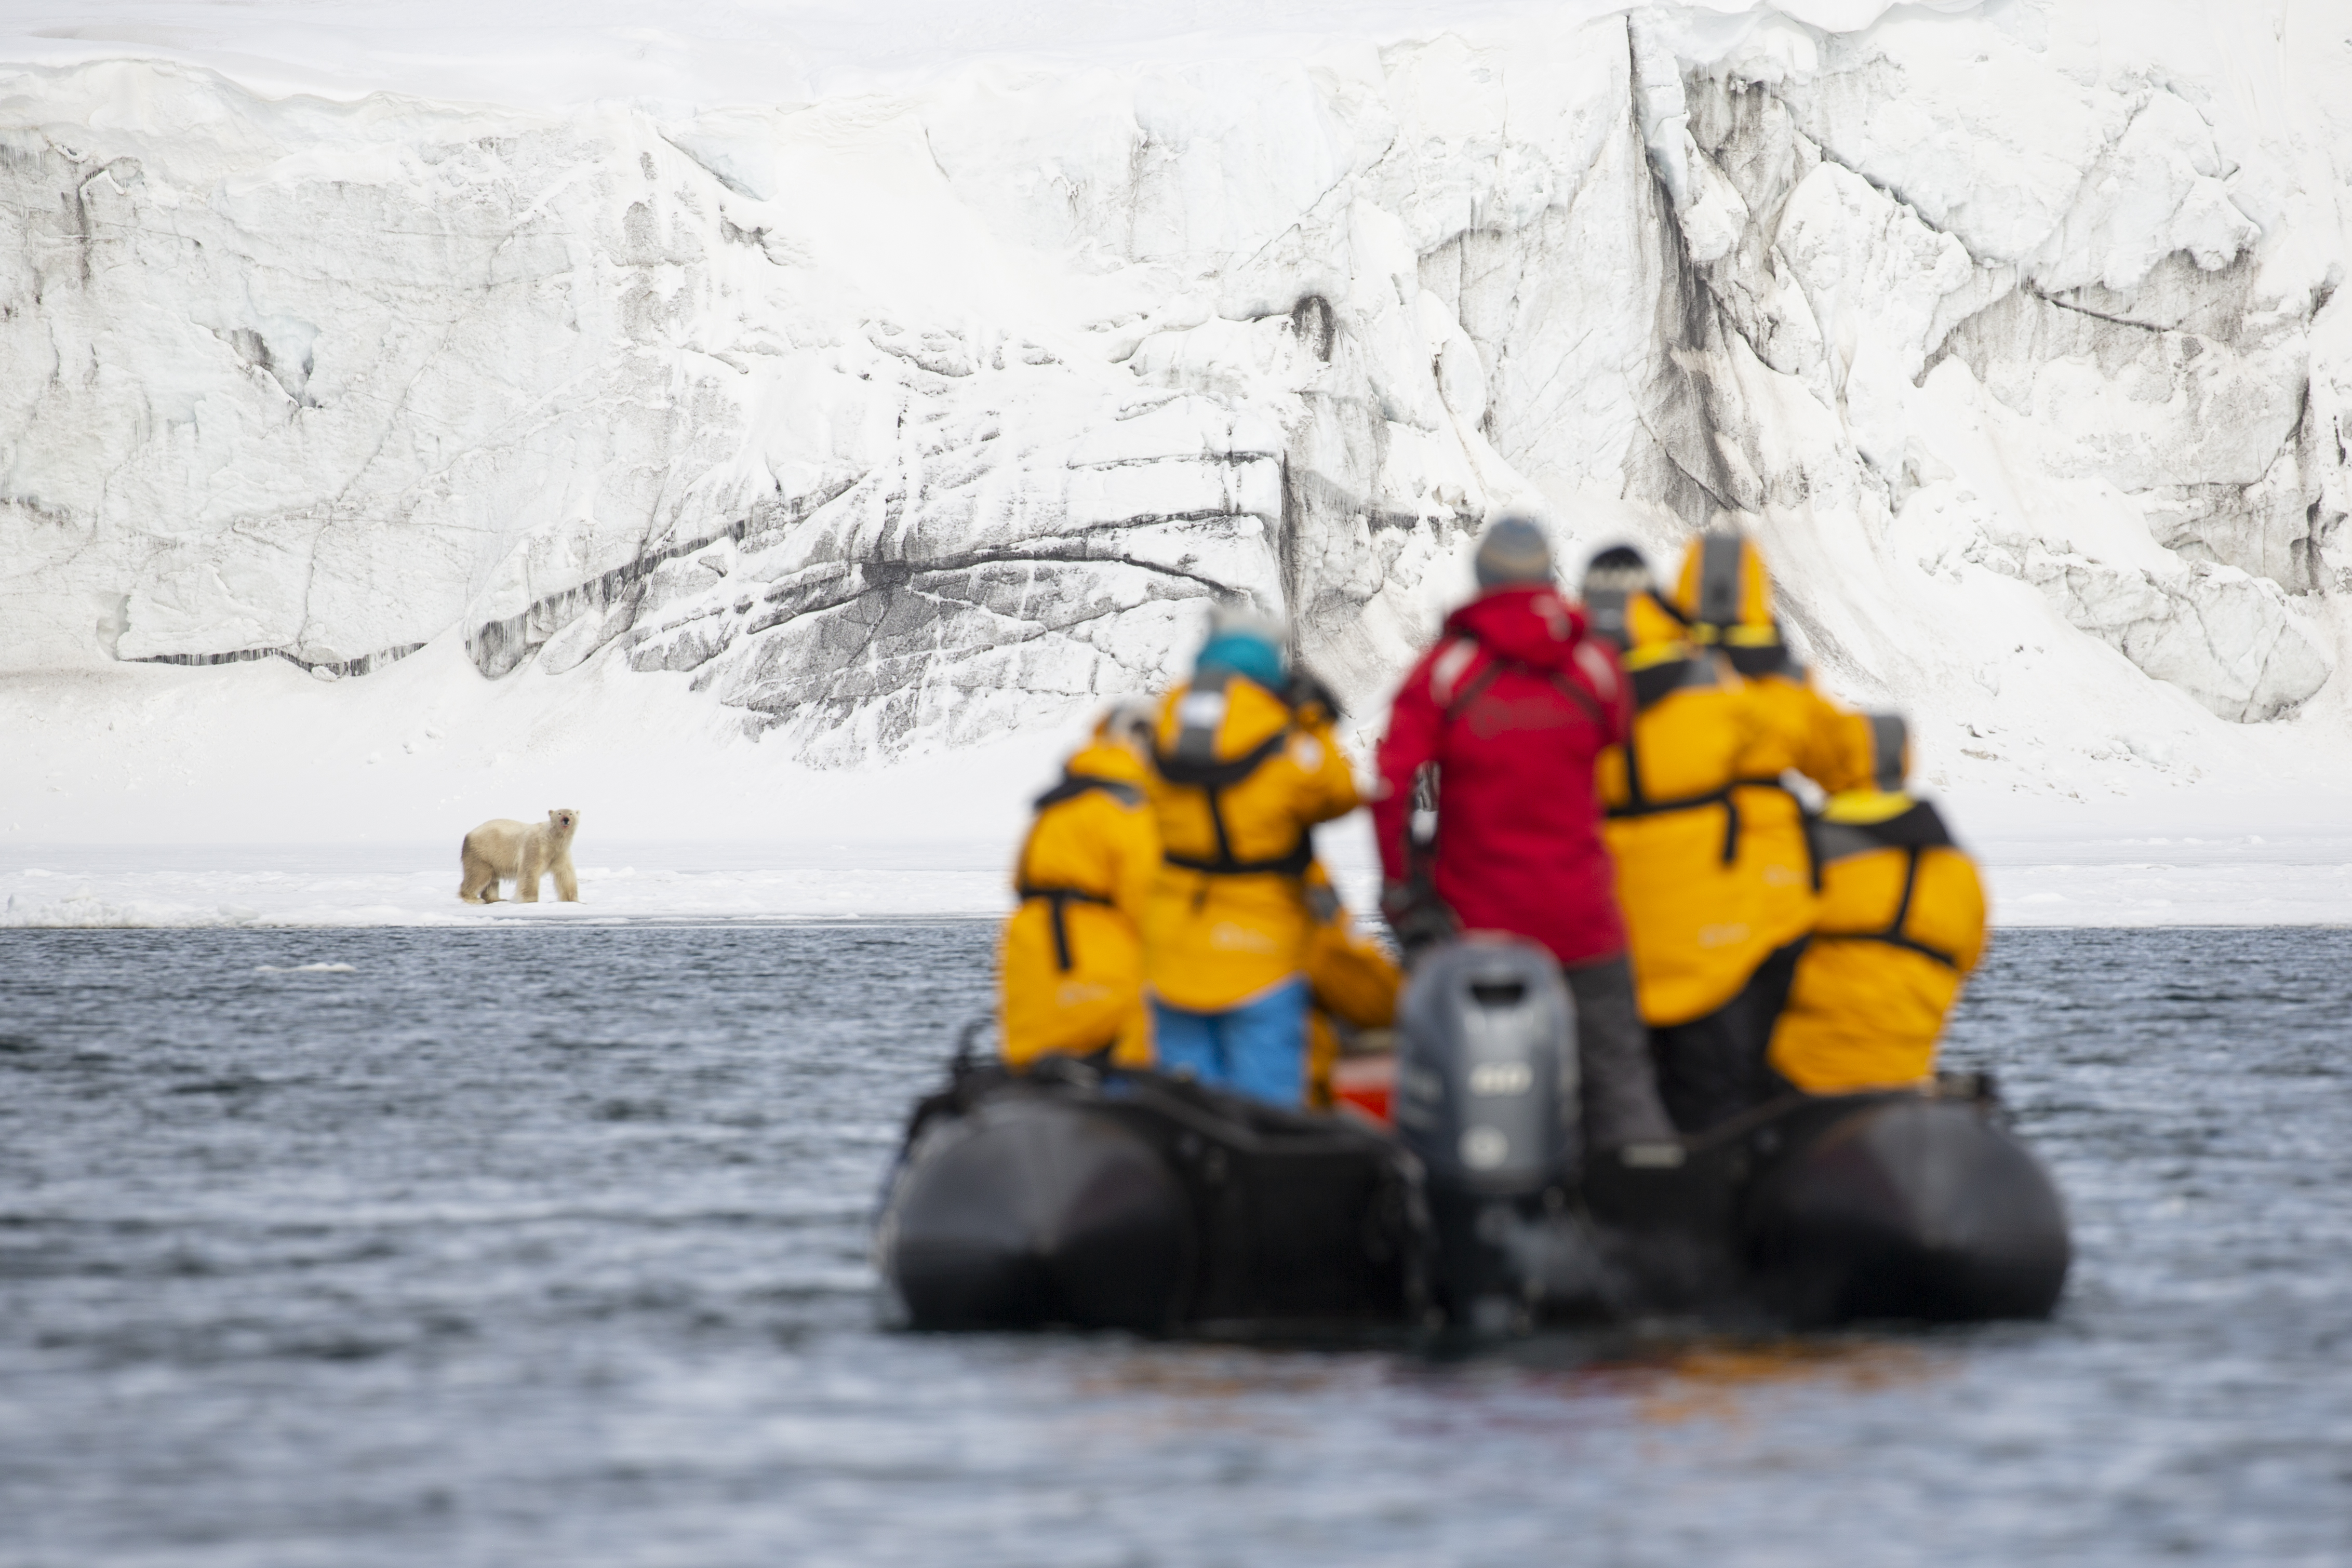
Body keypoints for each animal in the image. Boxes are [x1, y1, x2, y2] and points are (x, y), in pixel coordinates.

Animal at [458, 818, 583, 903]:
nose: (566, 821)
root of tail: (468, 835)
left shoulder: (559, 854)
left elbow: (565, 874)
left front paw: (573, 900)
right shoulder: (535, 848)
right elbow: (529, 872)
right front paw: (530, 899)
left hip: (492, 858)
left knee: (492, 879)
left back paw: (496, 899)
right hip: (484, 853)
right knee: (479, 875)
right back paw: (473, 898)